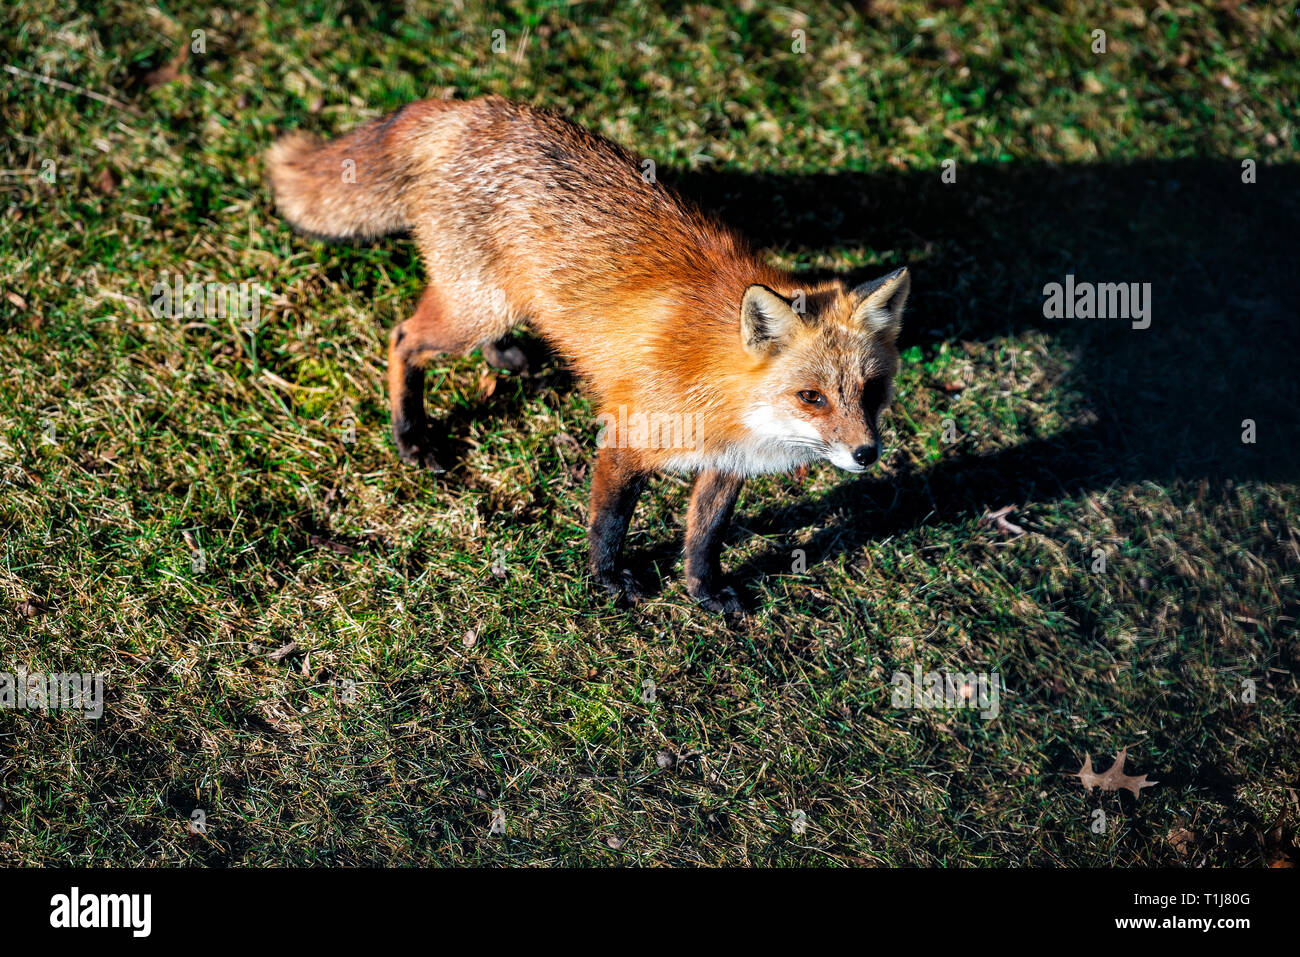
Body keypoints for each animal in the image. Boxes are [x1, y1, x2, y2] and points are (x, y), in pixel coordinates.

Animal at [266, 96, 910, 614]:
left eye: (871, 392)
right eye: (812, 396)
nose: (867, 454)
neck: (724, 386)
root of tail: (471, 108)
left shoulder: (727, 464)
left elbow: (705, 538)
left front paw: (704, 594)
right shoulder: (626, 436)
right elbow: (611, 521)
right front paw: (609, 581)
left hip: (497, 301)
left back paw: (506, 358)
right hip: (475, 308)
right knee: (403, 339)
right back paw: (411, 435)